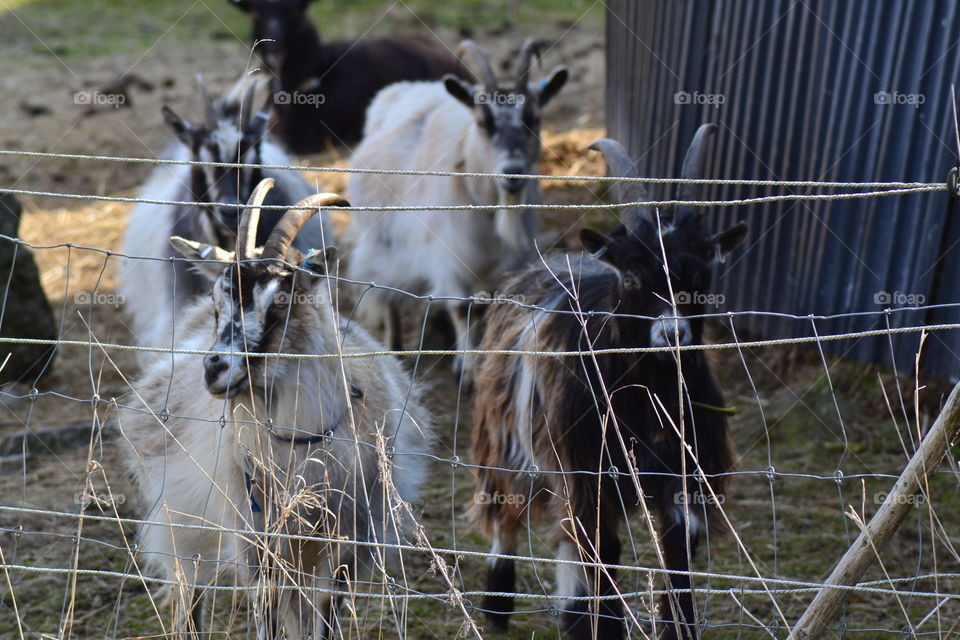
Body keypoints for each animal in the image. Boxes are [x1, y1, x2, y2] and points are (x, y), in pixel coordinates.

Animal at [117, 179, 432, 639]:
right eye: (219, 300)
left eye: (282, 299)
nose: (215, 369)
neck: (299, 440)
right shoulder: (256, 541)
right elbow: (265, 608)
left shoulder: (348, 542)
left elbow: (325, 614)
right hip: (184, 526)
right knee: (190, 594)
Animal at [345, 40, 568, 377]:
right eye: (483, 122)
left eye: (533, 119)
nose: (513, 171)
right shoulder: (447, 254)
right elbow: (461, 307)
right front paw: (466, 366)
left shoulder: (501, 265)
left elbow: (485, 306)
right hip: (380, 239)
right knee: (385, 291)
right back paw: (394, 344)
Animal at [469, 125, 748, 640]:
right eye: (633, 278)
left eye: (701, 274)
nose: (671, 335)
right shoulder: (587, 468)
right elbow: (602, 549)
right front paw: (594, 625)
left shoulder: (683, 473)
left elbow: (677, 551)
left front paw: (677, 627)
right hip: (503, 432)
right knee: (506, 509)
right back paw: (498, 604)